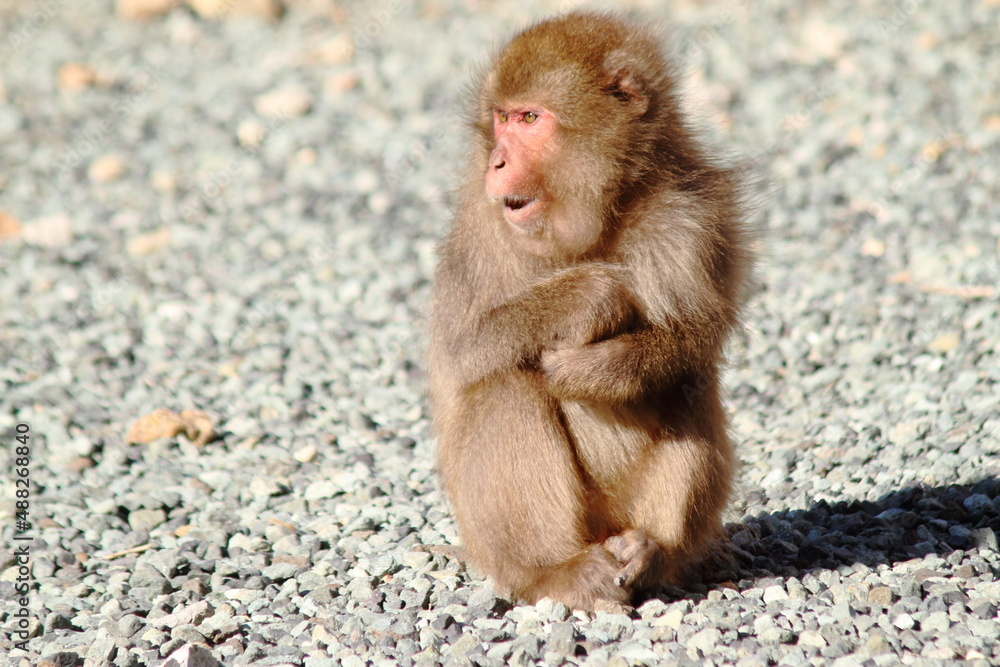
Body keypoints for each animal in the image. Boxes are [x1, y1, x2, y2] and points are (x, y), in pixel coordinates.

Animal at [428, 12, 751, 610]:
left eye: (530, 119)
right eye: (501, 118)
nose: (496, 161)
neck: (599, 219)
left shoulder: (698, 217)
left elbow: (696, 337)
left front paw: (598, 370)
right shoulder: (479, 226)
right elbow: (462, 351)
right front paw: (591, 295)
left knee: (684, 383)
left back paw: (652, 552)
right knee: (505, 384)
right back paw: (555, 571)